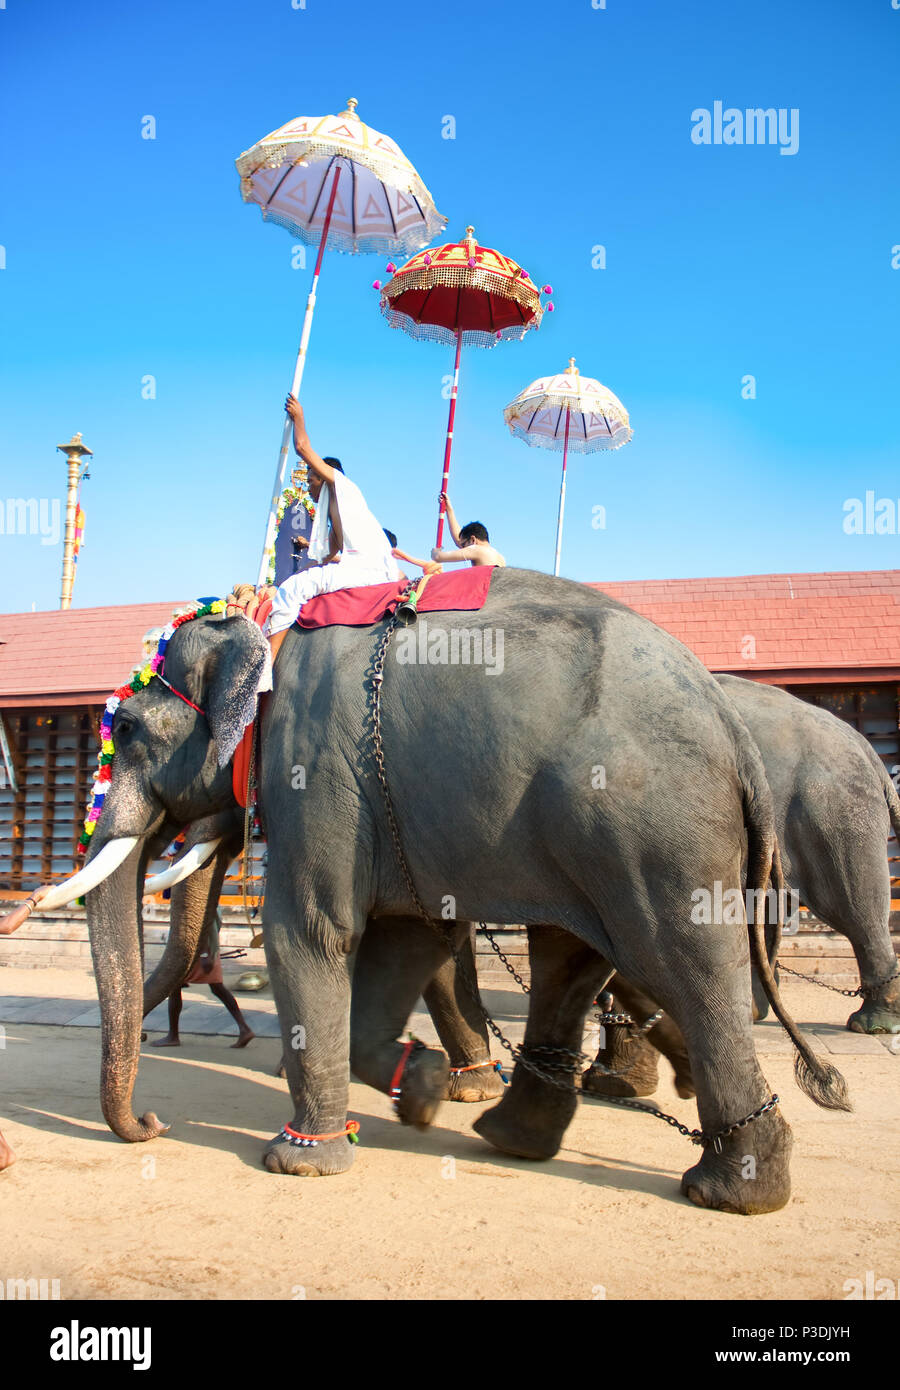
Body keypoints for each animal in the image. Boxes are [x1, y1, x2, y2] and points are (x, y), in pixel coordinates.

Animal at [79, 569, 851, 1212]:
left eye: (127, 728)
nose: (151, 1123)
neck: (266, 631)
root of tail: (733, 729)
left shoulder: (316, 772)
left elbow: (311, 932)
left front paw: (296, 1163)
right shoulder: (387, 811)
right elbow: (411, 937)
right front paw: (420, 1091)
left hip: (653, 834)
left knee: (684, 966)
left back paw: (728, 1192)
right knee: (571, 961)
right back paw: (515, 1136)